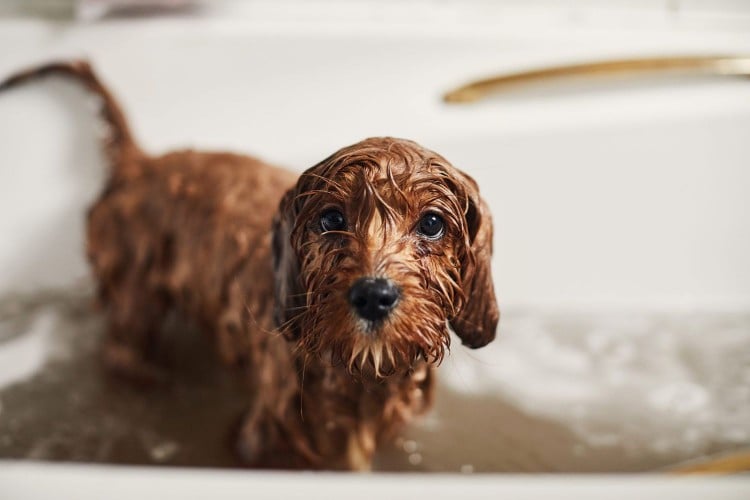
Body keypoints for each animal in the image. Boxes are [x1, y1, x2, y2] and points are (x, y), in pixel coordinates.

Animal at [2, 60, 502, 470]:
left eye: (432, 223)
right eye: (331, 218)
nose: (373, 296)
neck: (356, 379)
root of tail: (140, 163)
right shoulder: (259, 441)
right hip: (133, 304)